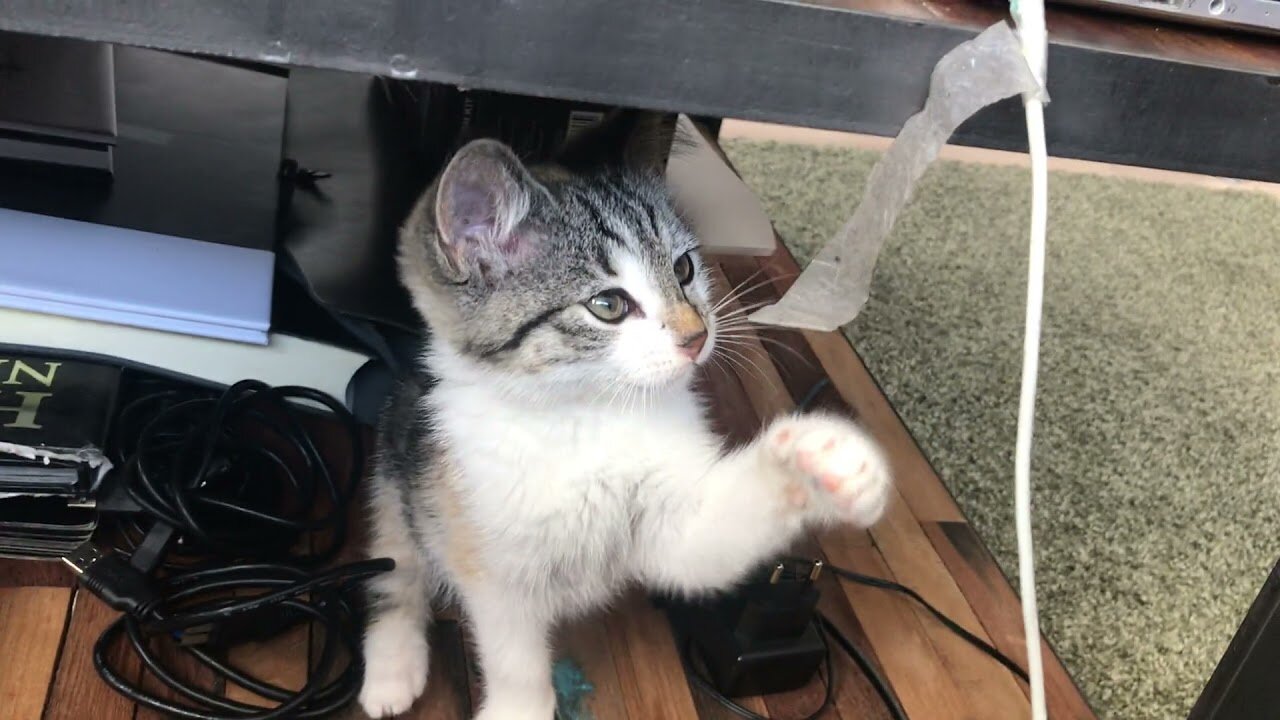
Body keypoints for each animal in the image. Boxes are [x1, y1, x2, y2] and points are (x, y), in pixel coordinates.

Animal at [355, 114, 885, 712]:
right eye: (607, 305)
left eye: (684, 267)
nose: (696, 337)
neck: (589, 411)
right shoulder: (489, 556)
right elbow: (513, 655)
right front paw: (520, 707)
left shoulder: (673, 527)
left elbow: (704, 543)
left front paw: (824, 459)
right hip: (399, 478)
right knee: (394, 567)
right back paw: (392, 669)